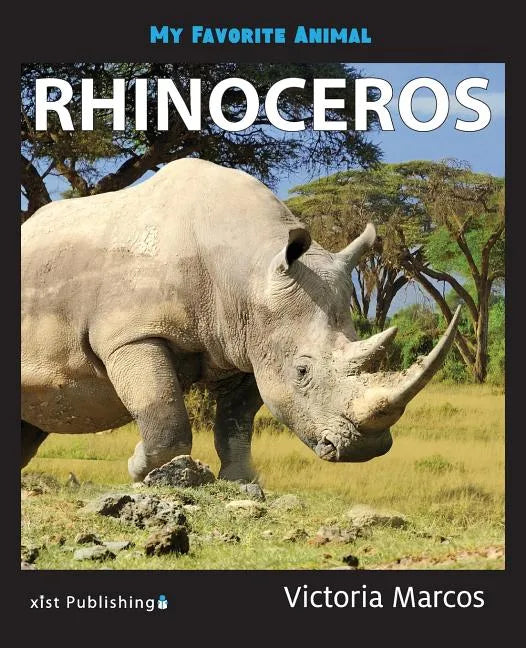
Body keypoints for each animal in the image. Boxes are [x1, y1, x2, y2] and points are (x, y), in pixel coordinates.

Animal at [21, 158, 460, 482]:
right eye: (302, 371)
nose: (364, 449)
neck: (249, 269)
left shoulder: (250, 343)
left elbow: (236, 424)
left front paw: (243, 483)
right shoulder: (132, 335)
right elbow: (164, 412)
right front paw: (140, 469)